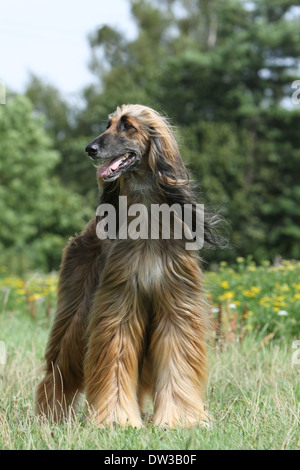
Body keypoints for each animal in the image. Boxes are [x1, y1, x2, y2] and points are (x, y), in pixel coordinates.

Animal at [35, 104, 220, 428]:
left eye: (127, 126)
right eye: (107, 124)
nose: (90, 149)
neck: (147, 217)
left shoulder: (176, 303)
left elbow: (176, 358)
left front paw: (179, 418)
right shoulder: (119, 303)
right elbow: (117, 360)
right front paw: (117, 418)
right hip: (78, 308)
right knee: (60, 365)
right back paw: (50, 415)